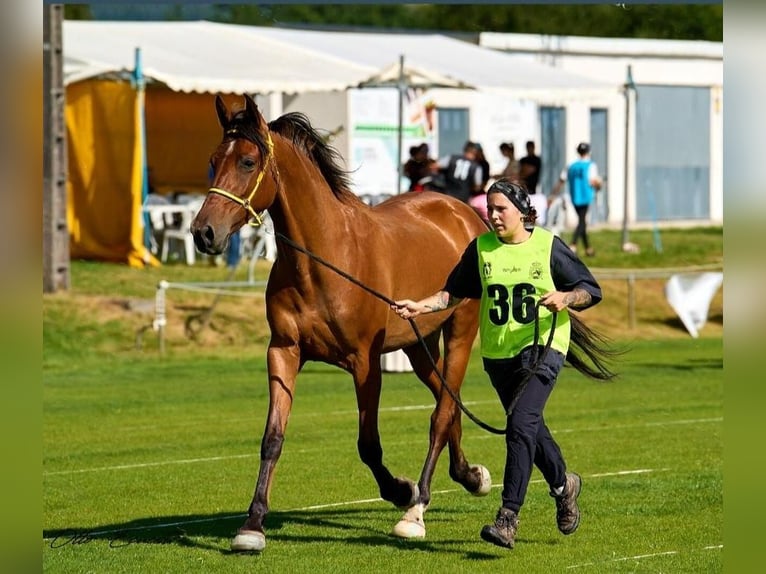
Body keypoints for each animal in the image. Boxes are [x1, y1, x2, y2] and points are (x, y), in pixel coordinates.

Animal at [190, 94, 492, 552]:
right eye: (212, 160)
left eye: (247, 161)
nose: (203, 232)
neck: (325, 258)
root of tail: (464, 213)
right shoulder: (283, 352)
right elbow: (272, 439)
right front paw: (252, 525)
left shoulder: (365, 364)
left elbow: (368, 445)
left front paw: (400, 490)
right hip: (418, 344)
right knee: (448, 400)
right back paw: (469, 476)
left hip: (461, 330)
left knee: (441, 414)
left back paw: (417, 507)